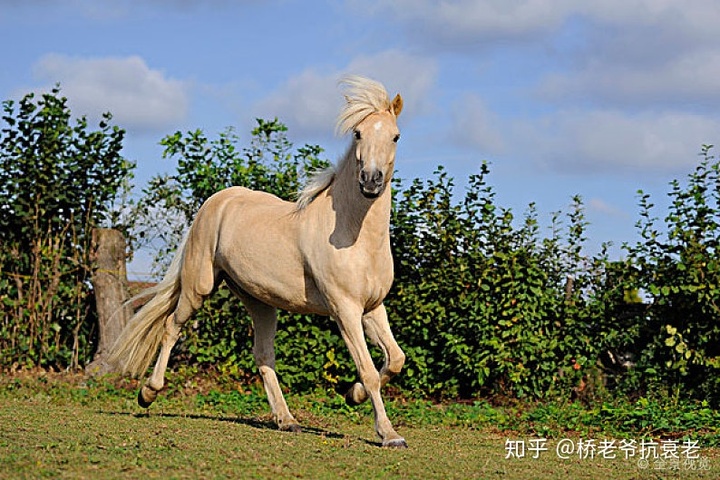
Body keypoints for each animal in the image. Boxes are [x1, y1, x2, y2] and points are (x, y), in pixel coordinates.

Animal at [109, 75, 408, 446]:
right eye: (358, 133)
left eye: (395, 136)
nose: (371, 181)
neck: (354, 236)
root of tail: (217, 201)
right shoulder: (345, 310)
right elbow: (368, 370)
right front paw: (389, 434)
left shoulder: (371, 308)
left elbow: (395, 360)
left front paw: (352, 396)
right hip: (198, 286)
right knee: (171, 327)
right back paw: (148, 393)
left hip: (260, 302)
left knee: (263, 355)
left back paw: (287, 420)